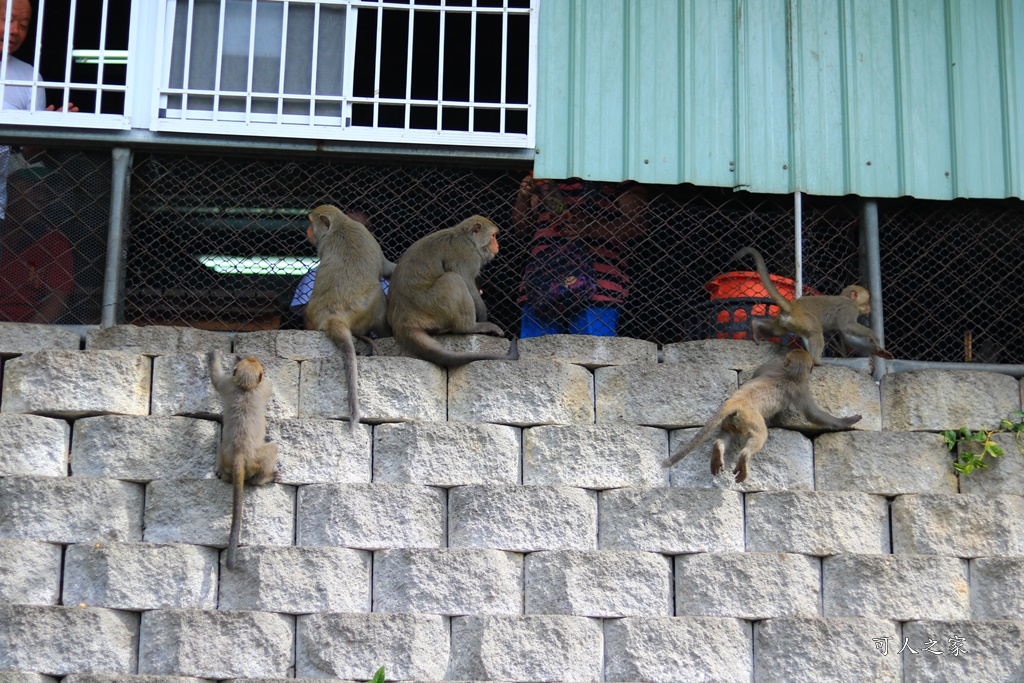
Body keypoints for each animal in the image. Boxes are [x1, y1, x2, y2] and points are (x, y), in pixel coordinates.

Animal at [207, 350, 276, 569]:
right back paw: (266, 478)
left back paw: (223, 475)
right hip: (258, 458)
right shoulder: (262, 388)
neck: (245, 386)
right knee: (273, 449)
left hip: (224, 455)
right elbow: (269, 387)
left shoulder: (228, 383)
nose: (251, 357)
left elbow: (216, 380)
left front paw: (214, 356)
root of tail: (239, 456)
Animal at [303, 202, 391, 430]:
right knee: (378, 291)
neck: (340, 226)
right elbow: (386, 268)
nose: (307, 231)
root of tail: (333, 318)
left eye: (310, 222)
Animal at [385, 216, 520, 368]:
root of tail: (402, 322)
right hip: (430, 303)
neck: (468, 238)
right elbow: (466, 281)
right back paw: (470, 327)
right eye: (493, 236)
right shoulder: (467, 254)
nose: (497, 246)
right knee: (453, 279)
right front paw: (483, 314)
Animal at [663, 350, 864, 483]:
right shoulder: (800, 388)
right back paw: (744, 456)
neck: (789, 372)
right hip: (750, 419)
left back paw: (719, 448)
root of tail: (738, 401)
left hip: (730, 419)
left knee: (727, 434)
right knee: (760, 435)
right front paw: (847, 421)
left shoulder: (772, 365)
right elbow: (814, 414)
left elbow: (756, 372)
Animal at [733, 245, 892, 362]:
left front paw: (877, 351)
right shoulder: (849, 308)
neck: (849, 300)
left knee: (777, 331)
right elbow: (847, 327)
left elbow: (848, 337)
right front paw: (874, 336)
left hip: (787, 321)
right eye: (868, 298)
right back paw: (817, 361)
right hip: (804, 319)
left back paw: (756, 325)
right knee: (816, 330)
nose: (869, 306)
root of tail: (793, 306)